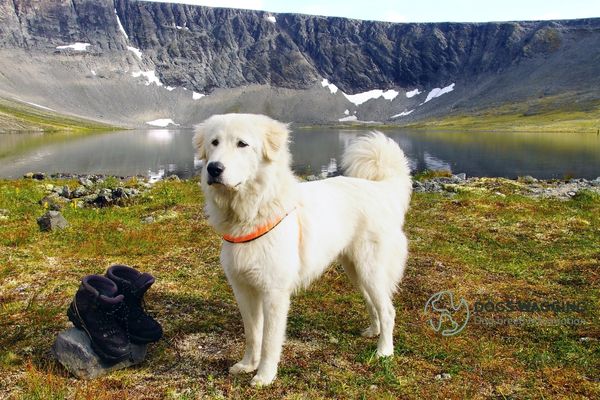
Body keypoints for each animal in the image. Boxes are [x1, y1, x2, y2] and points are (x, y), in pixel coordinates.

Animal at [195, 114, 410, 386]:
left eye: (242, 144)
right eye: (214, 142)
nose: (213, 168)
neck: (252, 212)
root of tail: (381, 189)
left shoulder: (274, 294)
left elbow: (269, 341)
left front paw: (264, 375)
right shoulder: (243, 290)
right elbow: (253, 334)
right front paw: (247, 365)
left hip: (371, 269)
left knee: (389, 311)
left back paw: (384, 351)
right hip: (356, 271)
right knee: (374, 305)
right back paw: (374, 331)